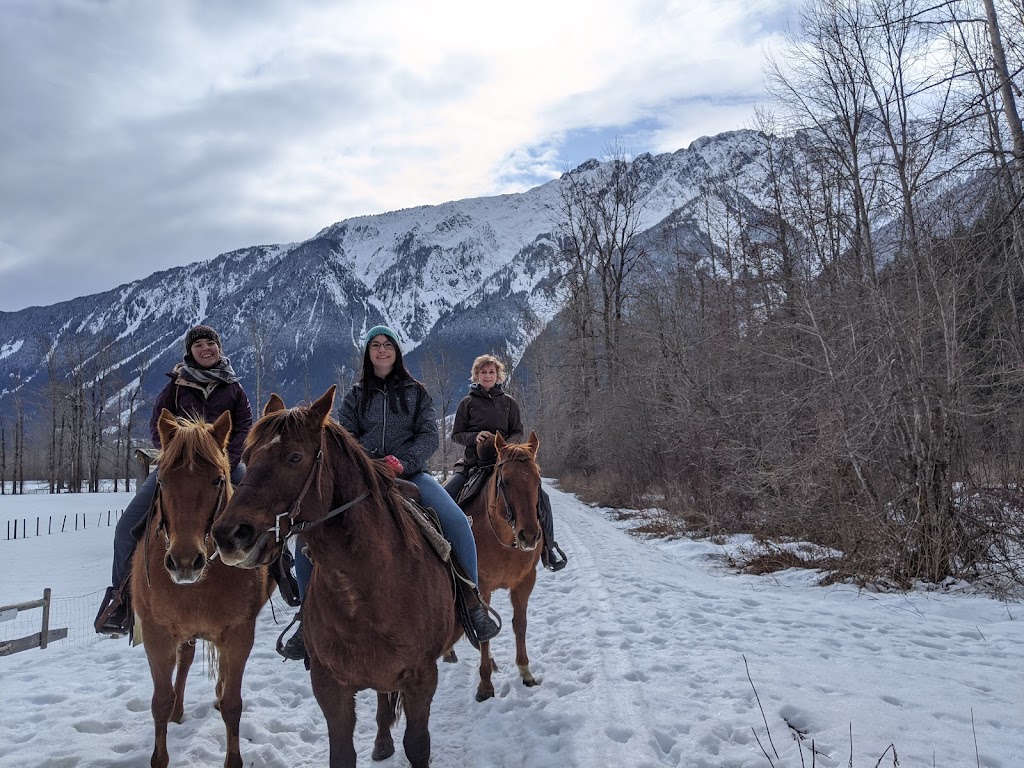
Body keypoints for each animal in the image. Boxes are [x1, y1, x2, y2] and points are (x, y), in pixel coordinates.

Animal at [133, 411, 276, 768]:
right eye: (162, 481)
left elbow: (233, 704)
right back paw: (179, 710)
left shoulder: (239, 634)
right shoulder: (156, 635)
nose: (185, 561)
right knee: (184, 662)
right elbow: (160, 702)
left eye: (217, 480)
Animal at [211, 391, 460, 768]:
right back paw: (382, 743)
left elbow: (418, 746)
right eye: (249, 457)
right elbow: (342, 754)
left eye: (294, 457)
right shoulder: (329, 684)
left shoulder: (421, 677)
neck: (366, 592)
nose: (229, 535)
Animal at [462, 434, 544, 704]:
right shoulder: (481, 587)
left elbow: (520, 624)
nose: (529, 536)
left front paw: (526, 672)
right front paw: (485, 685)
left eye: (538, 480)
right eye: (505, 481)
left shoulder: (525, 582)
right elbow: (485, 630)